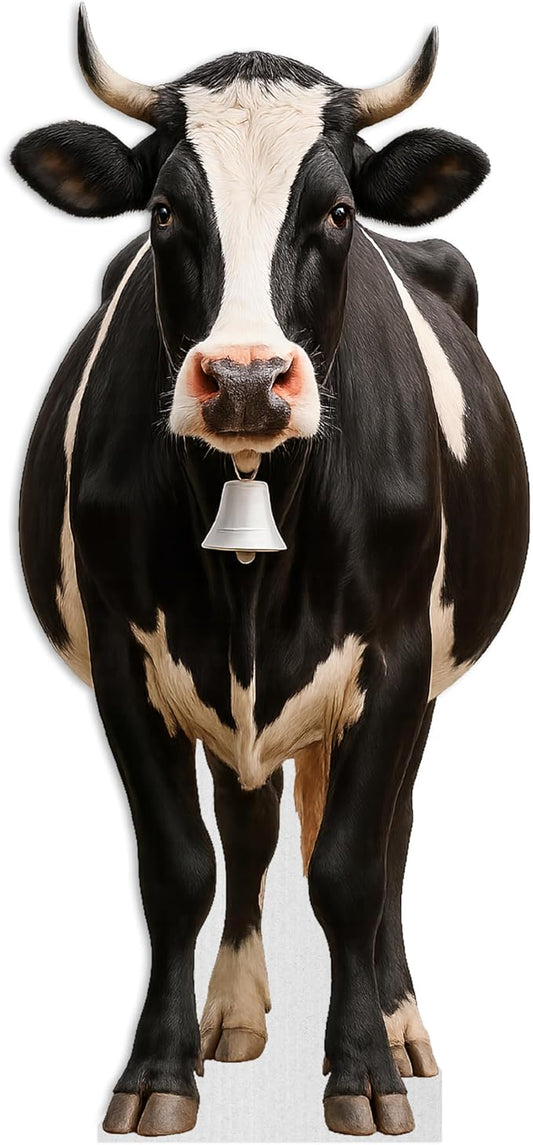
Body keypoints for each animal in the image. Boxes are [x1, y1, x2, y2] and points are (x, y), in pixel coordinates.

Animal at [11, 5, 529, 1138]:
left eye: (335, 209)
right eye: (165, 208)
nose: (245, 379)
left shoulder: (395, 659)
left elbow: (350, 866)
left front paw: (364, 1070)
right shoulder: (126, 661)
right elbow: (179, 868)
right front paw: (158, 1069)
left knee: (389, 837)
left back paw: (399, 1022)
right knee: (246, 830)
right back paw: (234, 1012)